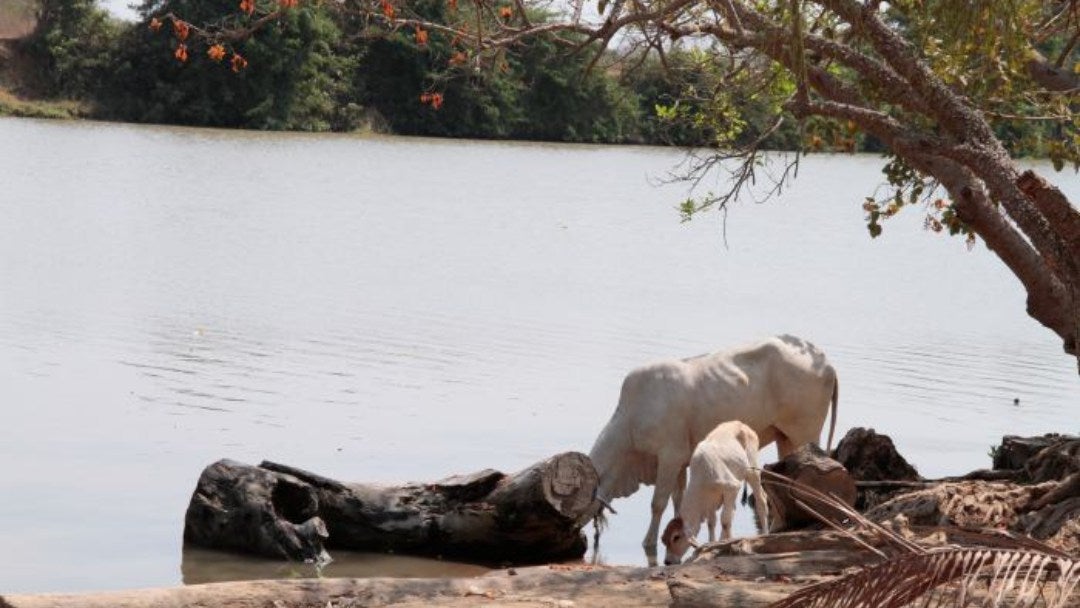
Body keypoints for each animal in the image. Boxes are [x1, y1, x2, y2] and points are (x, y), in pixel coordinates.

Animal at [656, 423, 768, 565]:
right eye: (663, 539)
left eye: (676, 537)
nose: (667, 562)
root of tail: (740, 424)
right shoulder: (710, 503)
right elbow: (712, 523)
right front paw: (712, 544)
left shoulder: (732, 488)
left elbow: (725, 520)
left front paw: (729, 542)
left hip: (752, 472)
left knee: (761, 501)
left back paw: (765, 533)